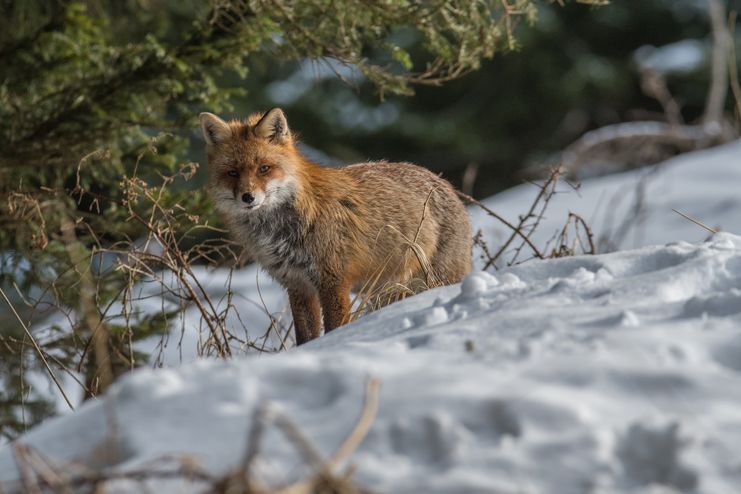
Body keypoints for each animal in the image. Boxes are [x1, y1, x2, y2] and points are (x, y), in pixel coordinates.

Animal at [199, 108, 472, 344]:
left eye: (264, 168)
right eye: (233, 173)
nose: (248, 197)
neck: (279, 230)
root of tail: (446, 184)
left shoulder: (333, 280)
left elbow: (334, 327)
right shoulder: (297, 284)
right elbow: (306, 335)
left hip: (429, 280)